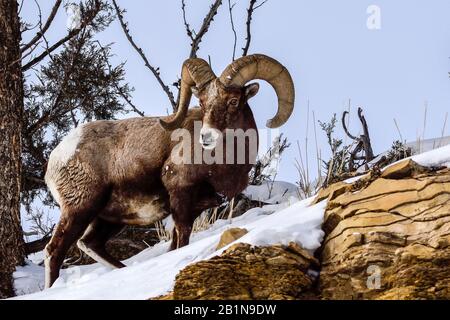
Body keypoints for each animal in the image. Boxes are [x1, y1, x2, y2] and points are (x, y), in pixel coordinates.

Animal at [43, 53, 296, 288]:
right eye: (202, 102)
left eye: (234, 101)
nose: (206, 137)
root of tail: (57, 158)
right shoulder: (181, 198)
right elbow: (181, 240)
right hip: (79, 209)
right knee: (55, 251)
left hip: (108, 219)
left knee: (90, 244)